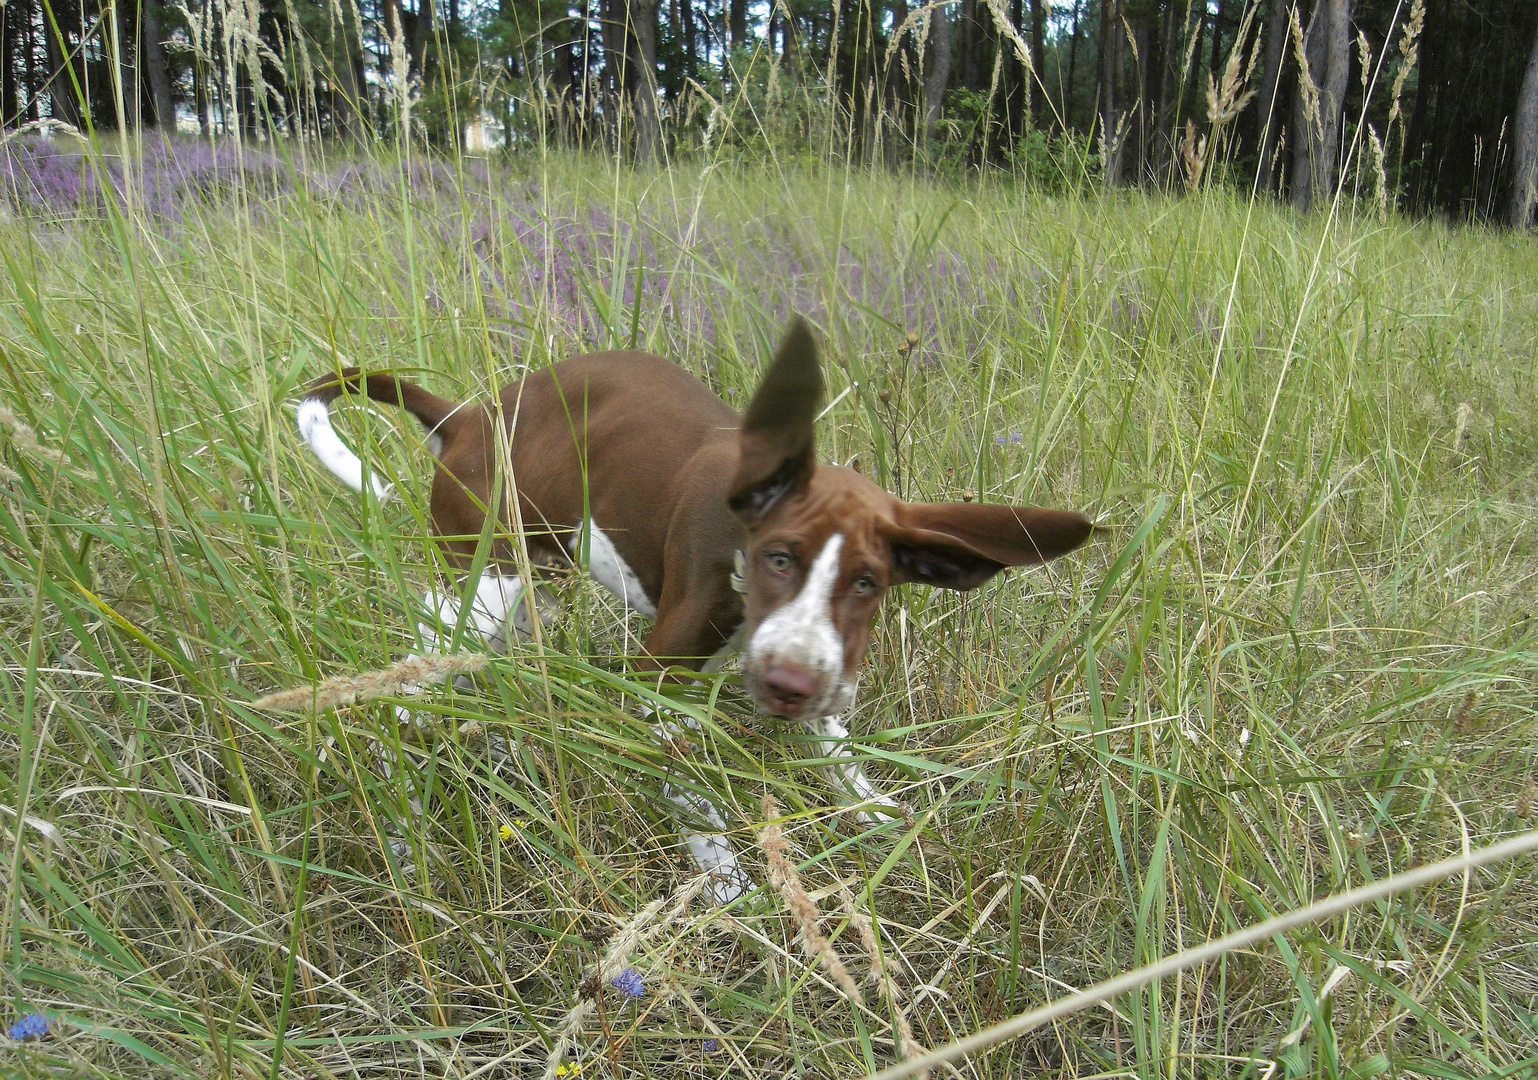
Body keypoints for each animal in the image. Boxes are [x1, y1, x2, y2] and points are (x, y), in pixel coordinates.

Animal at [296, 316, 1095, 898]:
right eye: (779, 558)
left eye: (867, 583)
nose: (789, 686)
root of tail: (469, 416)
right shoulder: (657, 683)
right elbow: (687, 788)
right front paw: (724, 877)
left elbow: (840, 755)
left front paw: (879, 815)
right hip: (476, 590)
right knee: (390, 708)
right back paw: (403, 836)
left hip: (528, 591)